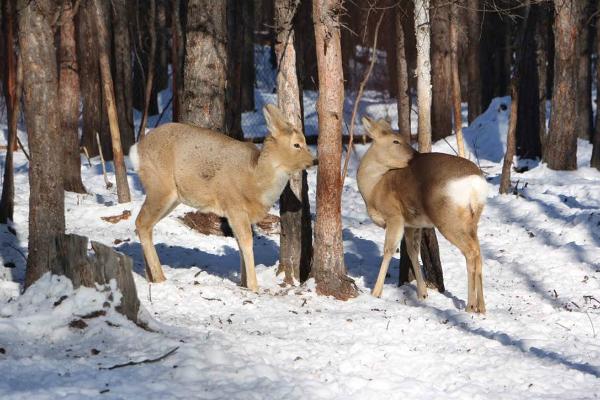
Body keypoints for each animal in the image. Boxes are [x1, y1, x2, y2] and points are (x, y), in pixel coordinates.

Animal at [129, 104, 316, 290]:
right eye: (297, 144)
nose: (314, 160)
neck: (255, 182)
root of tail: (136, 150)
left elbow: (240, 243)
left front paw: (243, 283)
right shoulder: (234, 206)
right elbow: (247, 242)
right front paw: (254, 287)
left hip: (171, 197)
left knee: (145, 225)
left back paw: (150, 276)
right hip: (160, 186)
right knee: (141, 222)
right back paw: (159, 277)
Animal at [356, 117, 488, 314]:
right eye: (396, 141)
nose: (415, 155)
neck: (374, 188)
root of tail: (475, 183)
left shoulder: (395, 216)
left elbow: (388, 250)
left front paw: (375, 292)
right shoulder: (412, 223)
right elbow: (412, 251)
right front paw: (422, 293)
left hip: (448, 219)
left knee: (471, 252)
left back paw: (470, 306)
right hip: (472, 220)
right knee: (478, 252)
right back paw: (482, 307)